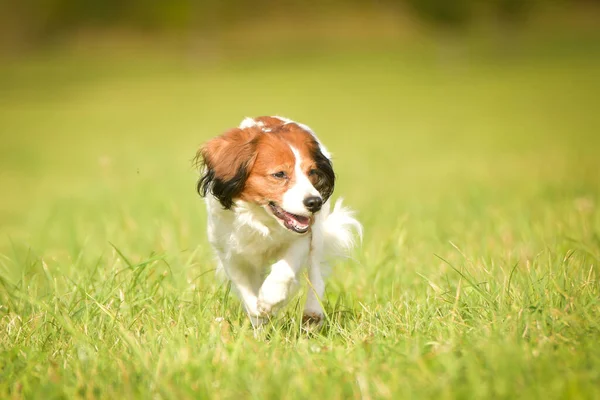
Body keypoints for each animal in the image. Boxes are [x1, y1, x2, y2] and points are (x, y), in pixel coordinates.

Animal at [197, 116, 360, 328]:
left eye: (312, 172)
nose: (315, 202)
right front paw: (258, 314)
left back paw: (312, 313)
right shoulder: (229, 251)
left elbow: (284, 269)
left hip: (317, 236)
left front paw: (271, 298)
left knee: (315, 273)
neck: (260, 218)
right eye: (280, 174)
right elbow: (245, 289)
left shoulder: (303, 235)